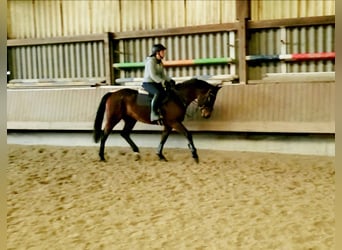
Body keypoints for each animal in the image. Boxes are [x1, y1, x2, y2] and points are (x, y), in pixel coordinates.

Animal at [93, 79, 222, 163]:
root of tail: (112, 93)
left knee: (124, 133)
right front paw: (195, 155)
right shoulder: (174, 122)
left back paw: (136, 153)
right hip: (113, 118)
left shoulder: (169, 125)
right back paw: (101, 157)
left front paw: (160, 155)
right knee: (105, 134)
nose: (207, 115)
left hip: (131, 119)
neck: (177, 98)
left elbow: (163, 138)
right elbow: (188, 134)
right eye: (210, 97)